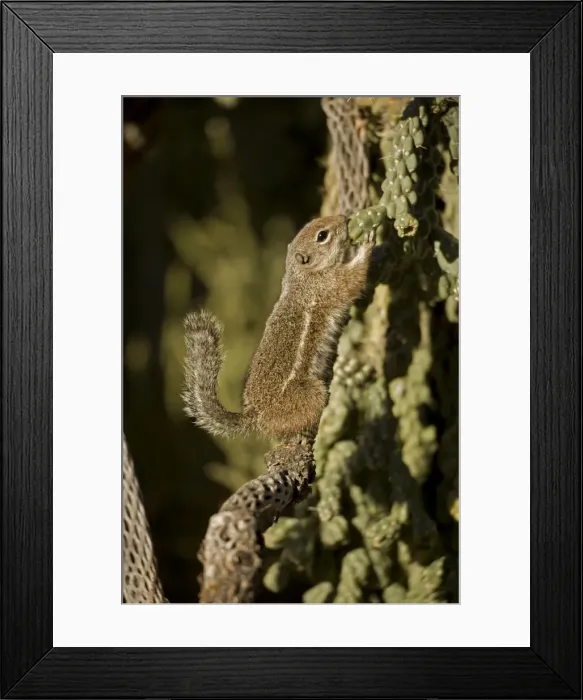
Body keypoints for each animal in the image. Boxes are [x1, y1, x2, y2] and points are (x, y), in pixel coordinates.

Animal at [182, 215, 375, 442]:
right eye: (322, 236)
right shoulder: (330, 286)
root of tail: (256, 414)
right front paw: (368, 245)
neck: (303, 275)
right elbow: (353, 280)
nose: (345, 218)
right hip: (309, 394)